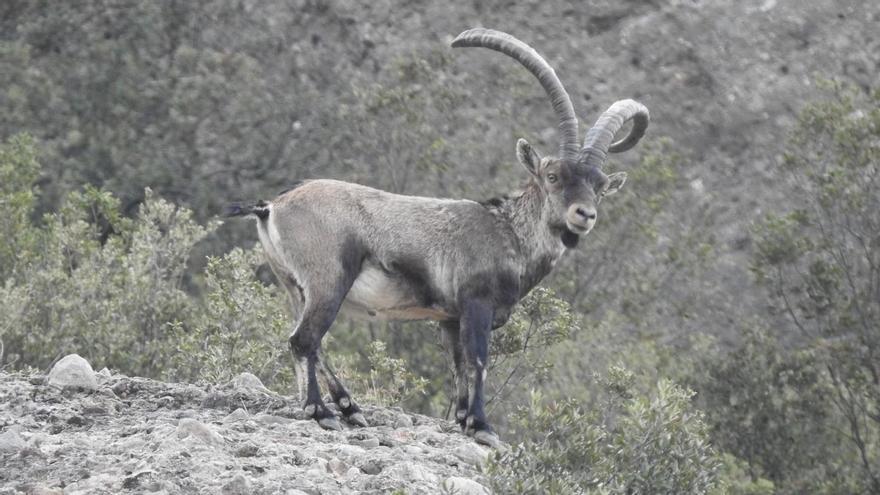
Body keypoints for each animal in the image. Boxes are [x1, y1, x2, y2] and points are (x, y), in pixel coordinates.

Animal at [225, 28, 649, 447]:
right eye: (553, 175)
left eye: (599, 186)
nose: (584, 215)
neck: (509, 232)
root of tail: (272, 207)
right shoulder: (477, 304)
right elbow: (478, 361)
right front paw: (482, 427)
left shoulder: (450, 318)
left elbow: (458, 364)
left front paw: (462, 418)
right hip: (328, 280)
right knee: (303, 340)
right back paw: (321, 412)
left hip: (295, 287)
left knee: (312, 342)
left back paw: (350, 408)